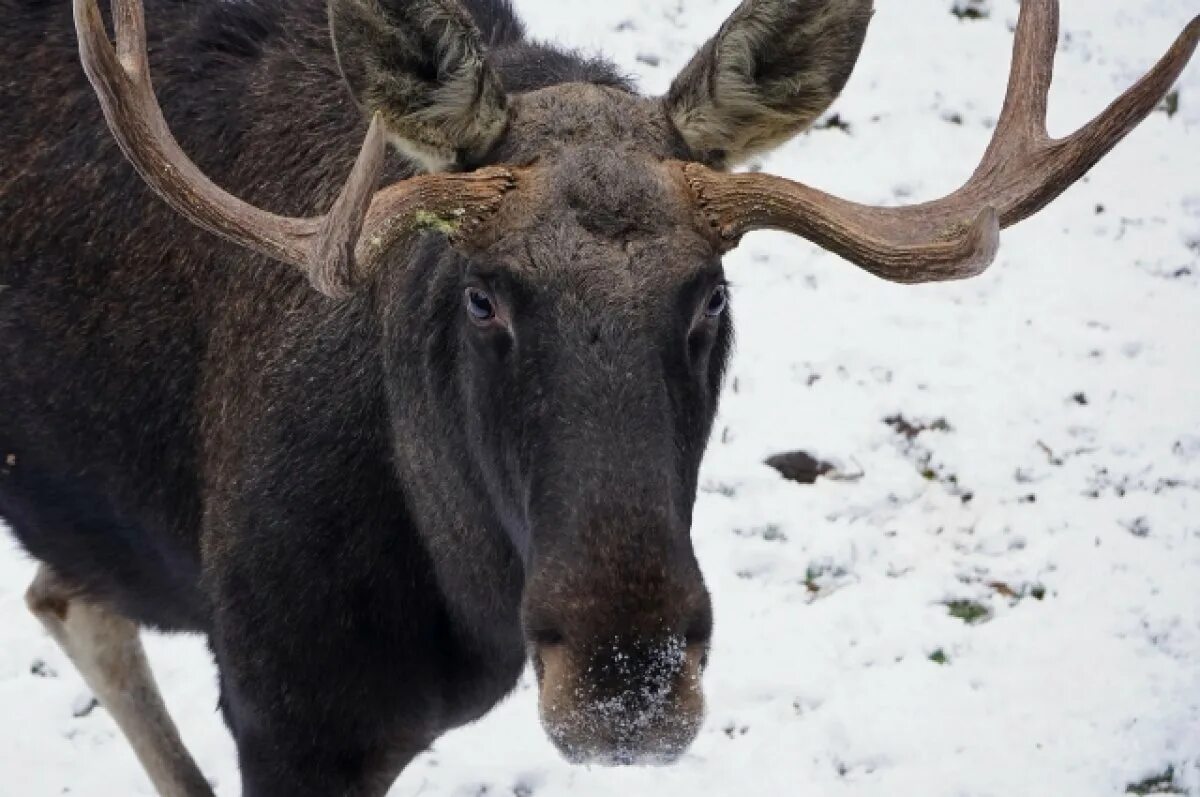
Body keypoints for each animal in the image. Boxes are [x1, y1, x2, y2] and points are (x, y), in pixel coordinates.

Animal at [0, 0, 1195, 792]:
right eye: (481, 293)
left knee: (66, 593)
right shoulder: (284, 704)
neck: (457, 596)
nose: (630, 679)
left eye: (711, 293)